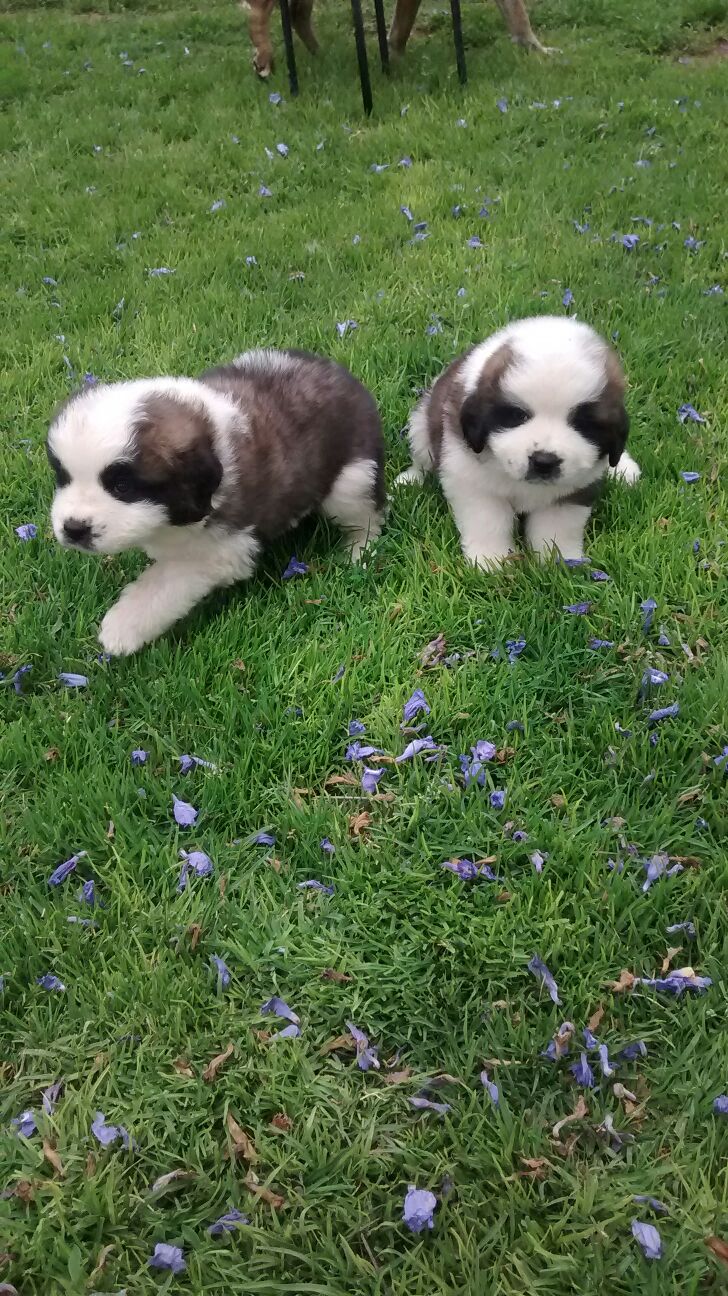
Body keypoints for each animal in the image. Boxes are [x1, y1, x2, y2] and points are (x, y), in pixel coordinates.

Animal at [47, 349, 383, 653]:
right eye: (63, 477)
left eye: (121, 486)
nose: (74, 529)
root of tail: (344, 376)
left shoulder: (225, 549)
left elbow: (164, 581)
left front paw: (123, 626)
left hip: (351, 482)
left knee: (368, 515)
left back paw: (357, 551)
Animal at [393, 316, 637, 565]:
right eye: (519, 416)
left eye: (582, 424)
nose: (544, 461)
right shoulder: (471, 479)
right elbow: (488, 521)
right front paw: (491, 561)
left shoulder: (573, 491)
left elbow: (556, 528)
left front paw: (560, 562)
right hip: (421, 426)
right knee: (422, 459)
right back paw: (409, 480)